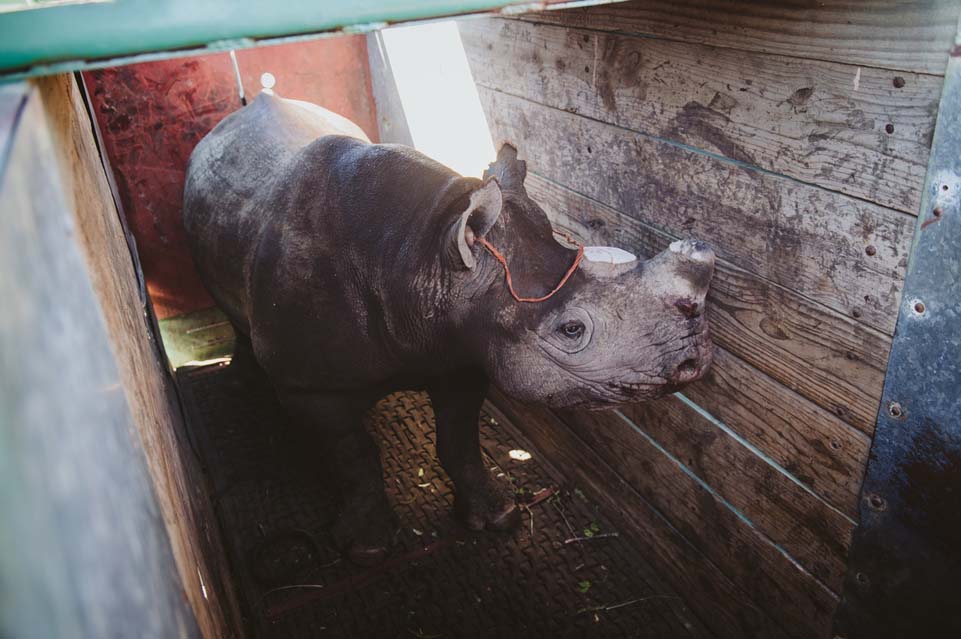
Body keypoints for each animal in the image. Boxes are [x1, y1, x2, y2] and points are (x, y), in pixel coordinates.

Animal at [183, 93, 714, 565]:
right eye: (570, 330)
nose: (695, 360)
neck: (421, 252)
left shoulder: (463, 350)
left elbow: (459, 438)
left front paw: (497, 516)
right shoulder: (309, 385)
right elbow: (354, 453)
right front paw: (368, 549)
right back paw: (242, 380)